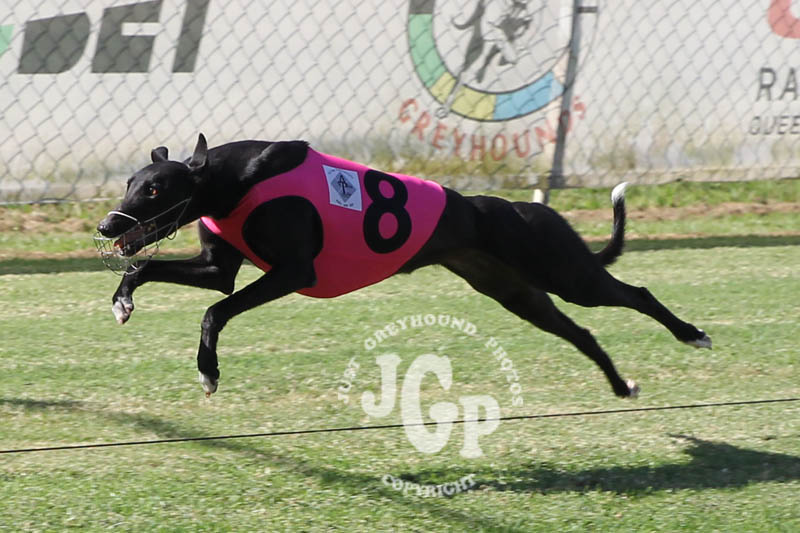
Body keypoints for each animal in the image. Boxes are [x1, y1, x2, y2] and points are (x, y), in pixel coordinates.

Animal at [95, 134, 711, 398]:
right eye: (129, 182)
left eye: (154, 188)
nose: (106, 226)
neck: (232, 180)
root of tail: (533, 208)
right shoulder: (216, 267)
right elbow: (145, 271)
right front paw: (122, 302)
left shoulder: (293, 274)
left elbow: (215, 312)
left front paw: (209, 371)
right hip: (518, 294)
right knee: (582, 331)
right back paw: (620, 386)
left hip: (565, 273)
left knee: (636, 293)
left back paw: (692, 334)